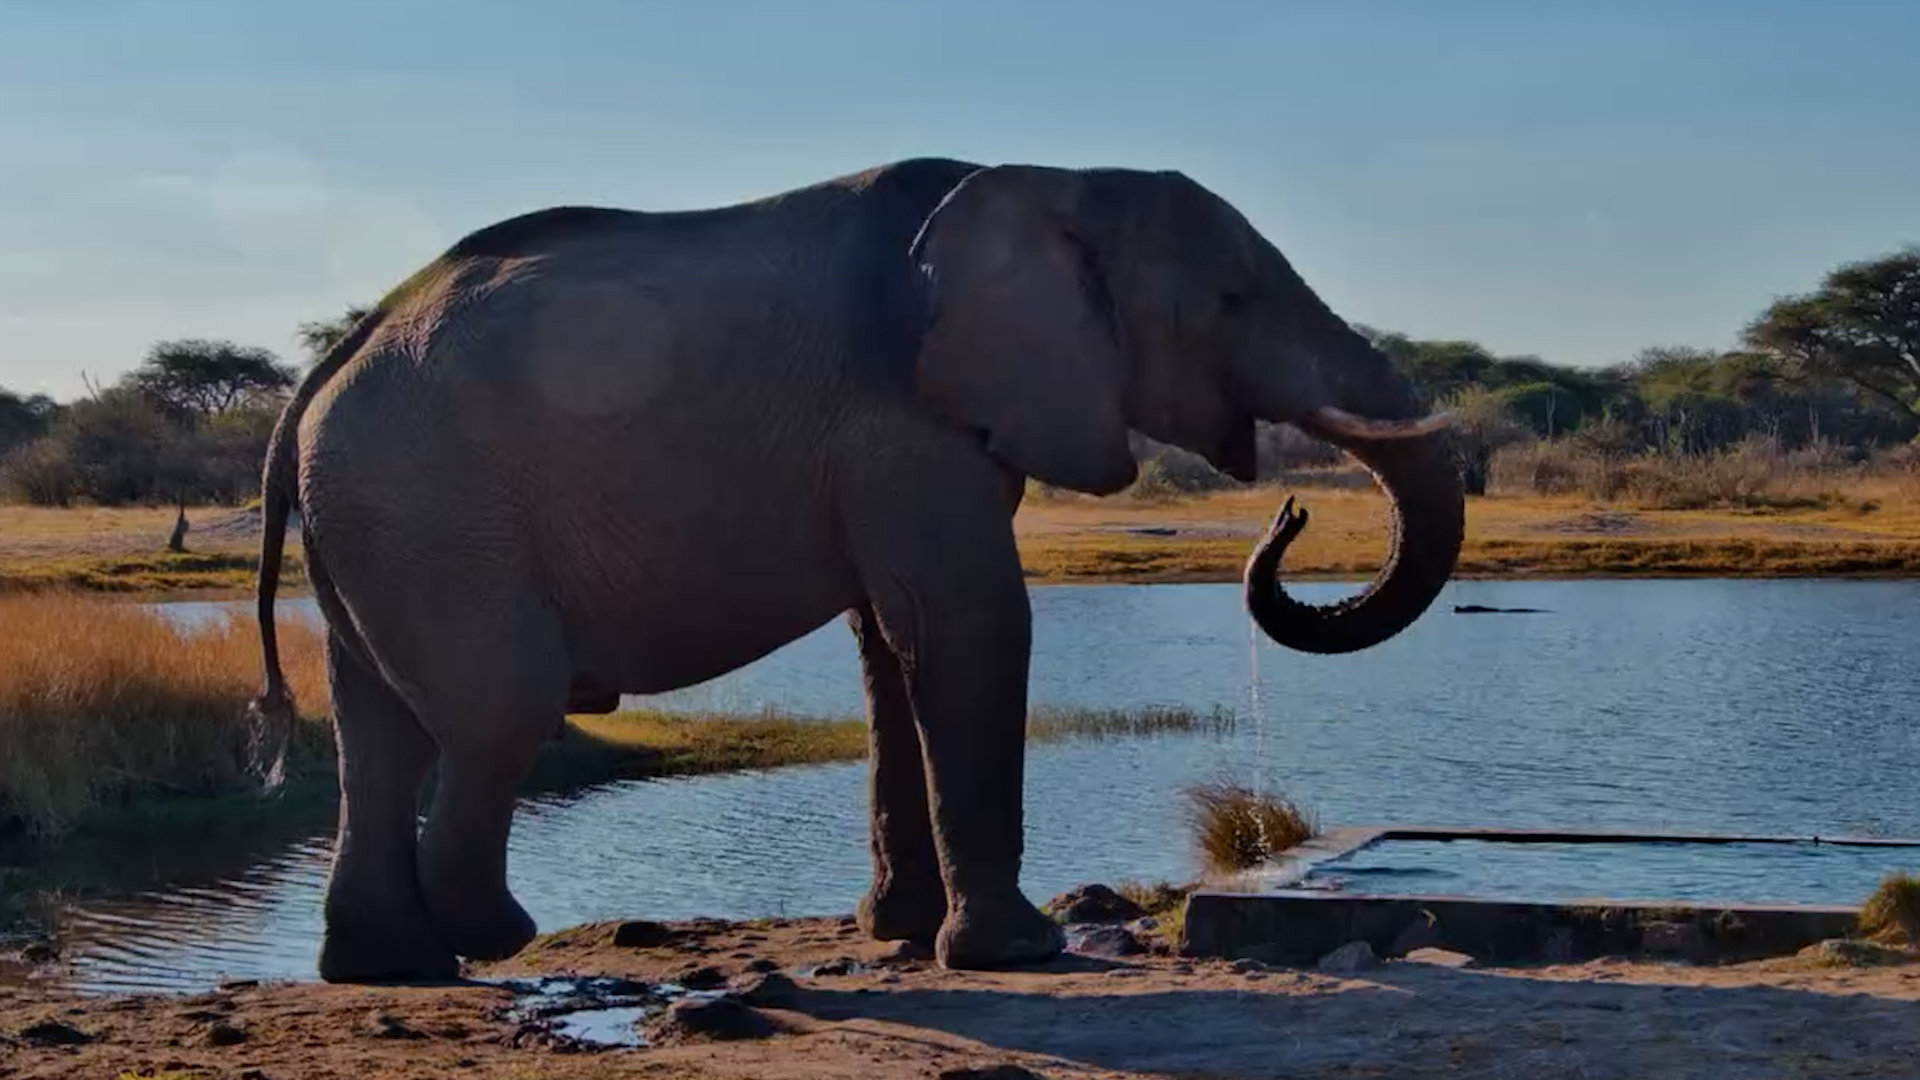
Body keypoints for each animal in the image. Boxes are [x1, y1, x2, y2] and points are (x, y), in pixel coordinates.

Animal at [246, 156, 1463, 984]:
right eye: (1230, 303)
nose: (1288, 513)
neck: (1052, 178)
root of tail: (318, 378)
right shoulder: (903, 419)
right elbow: (968, 622)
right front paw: (1016, 953)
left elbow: (892, 644)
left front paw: (905, 935)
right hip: (430, 508)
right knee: (498, 711)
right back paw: (489, 939)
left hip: (375, 519)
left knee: (376, 732)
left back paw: (388, 969)